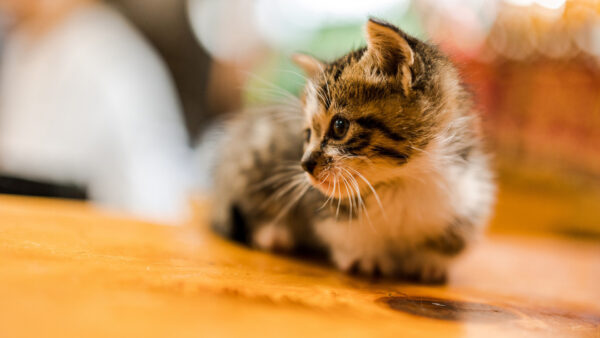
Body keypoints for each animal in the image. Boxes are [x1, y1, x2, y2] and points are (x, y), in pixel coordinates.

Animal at [210, 18, 492, 282]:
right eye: (307, 134)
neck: (402, 180)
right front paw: (365, 258)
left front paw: (429, 262)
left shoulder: (471, 191)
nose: (305, 164)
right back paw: (273, 233)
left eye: (339, 126)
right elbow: (344, 231)